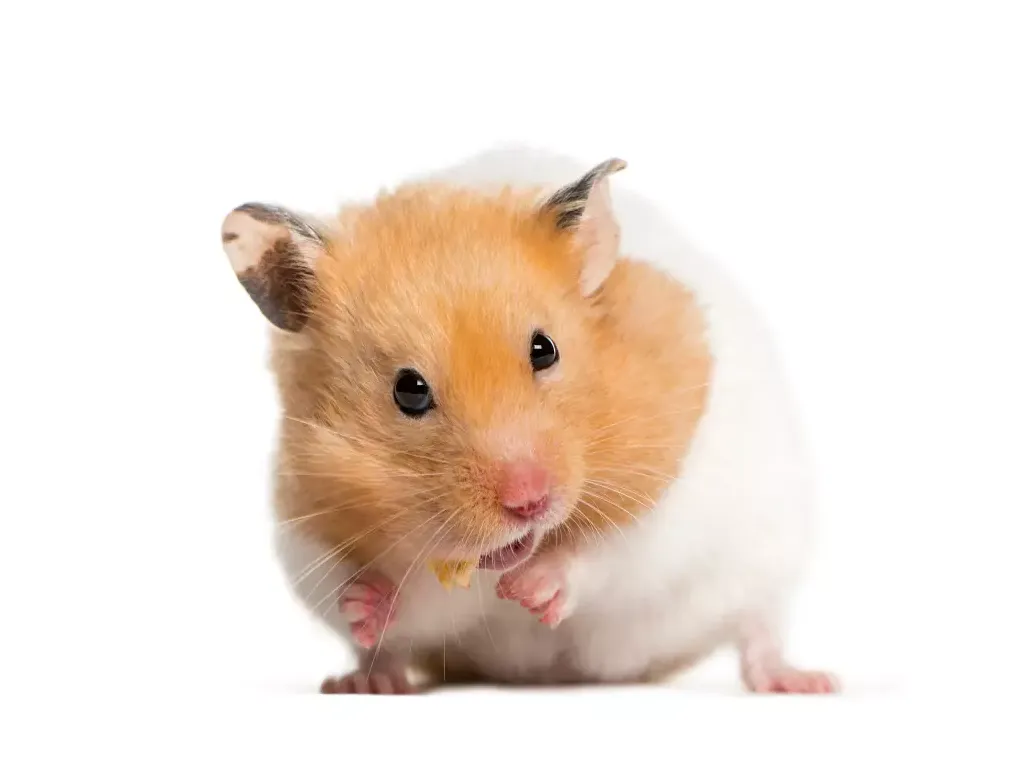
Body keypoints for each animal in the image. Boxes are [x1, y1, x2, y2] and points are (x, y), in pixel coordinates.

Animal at [219, 145, 838, 695]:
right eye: (408, 391)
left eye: (545, 349)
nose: (529, 502)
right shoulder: (304, 526)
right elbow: (404, 598)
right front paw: (363, 602)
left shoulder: (672, 498)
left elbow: (608, 552)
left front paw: (532, 592)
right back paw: (367, 682)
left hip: (763, 557)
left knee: (758, 627)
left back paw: (802, 682)